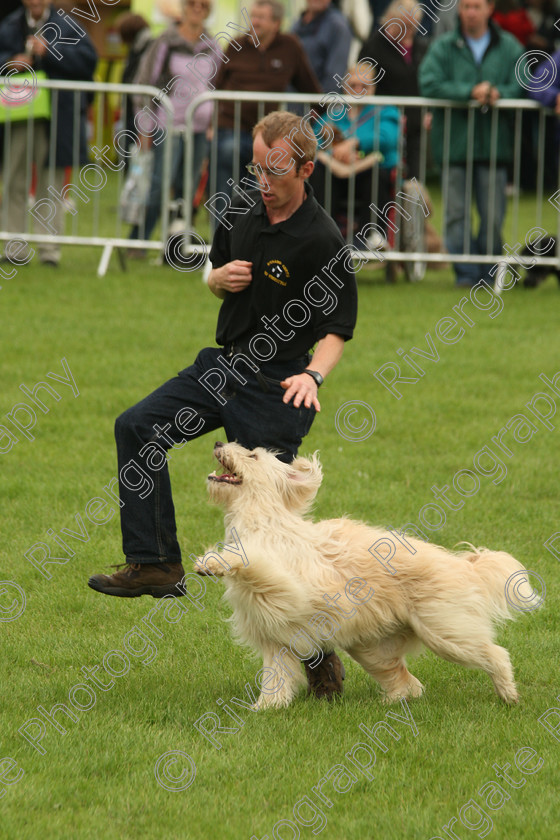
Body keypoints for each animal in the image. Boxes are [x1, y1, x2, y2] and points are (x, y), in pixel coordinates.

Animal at [195, 440, 532, 708]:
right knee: (407, 682)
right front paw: (264, 709)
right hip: (373, 649)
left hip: (446, 631)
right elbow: (274, 677)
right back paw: (391, 702)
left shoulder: (287, 589)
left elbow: (253, 562)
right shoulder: (275, 638)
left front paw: (213, 562)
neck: (264, 522)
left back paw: (508, 694)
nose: (218, 442)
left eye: (252, 455)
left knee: (495, 654)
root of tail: (465, 565)